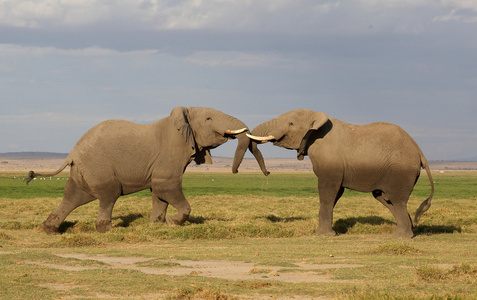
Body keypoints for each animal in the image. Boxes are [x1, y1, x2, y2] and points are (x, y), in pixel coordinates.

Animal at [27, 106, 270, 233]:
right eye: (209, 118)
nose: (267, 174)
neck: (185, 116)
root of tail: (73, 152)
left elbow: (158, 193)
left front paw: (158, 225)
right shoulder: (170, 155)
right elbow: (166, 187)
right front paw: (172, 223)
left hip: (84, 171)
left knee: (73, 197)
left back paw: (48, 229)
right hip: (99, 166)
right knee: (108, 196)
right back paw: (108, 230)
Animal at [247, 109, 434, 238]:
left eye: (291, 124)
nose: (268, 172)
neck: (316, 119)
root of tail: (419, 151)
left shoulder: (330, 161)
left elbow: (328, 191)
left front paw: (322, 236)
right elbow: (336, 193)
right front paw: (330, 233)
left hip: (401, 171)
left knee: (396, 200)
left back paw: (400, 237)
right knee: (385, 198)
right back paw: (408, 232)